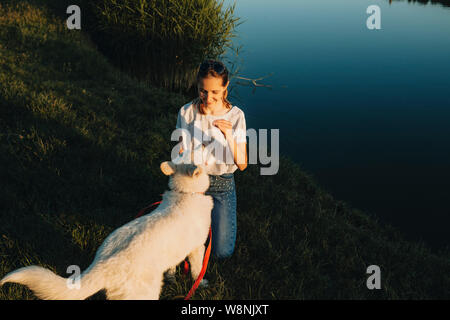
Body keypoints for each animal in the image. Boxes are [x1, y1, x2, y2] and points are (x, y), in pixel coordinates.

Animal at [0, 161, 214, 298]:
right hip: (144, 294)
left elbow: (172, 267)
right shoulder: (198, 248)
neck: (185, 193)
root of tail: (104, 264)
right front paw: (201, 283)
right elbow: (197, 270)